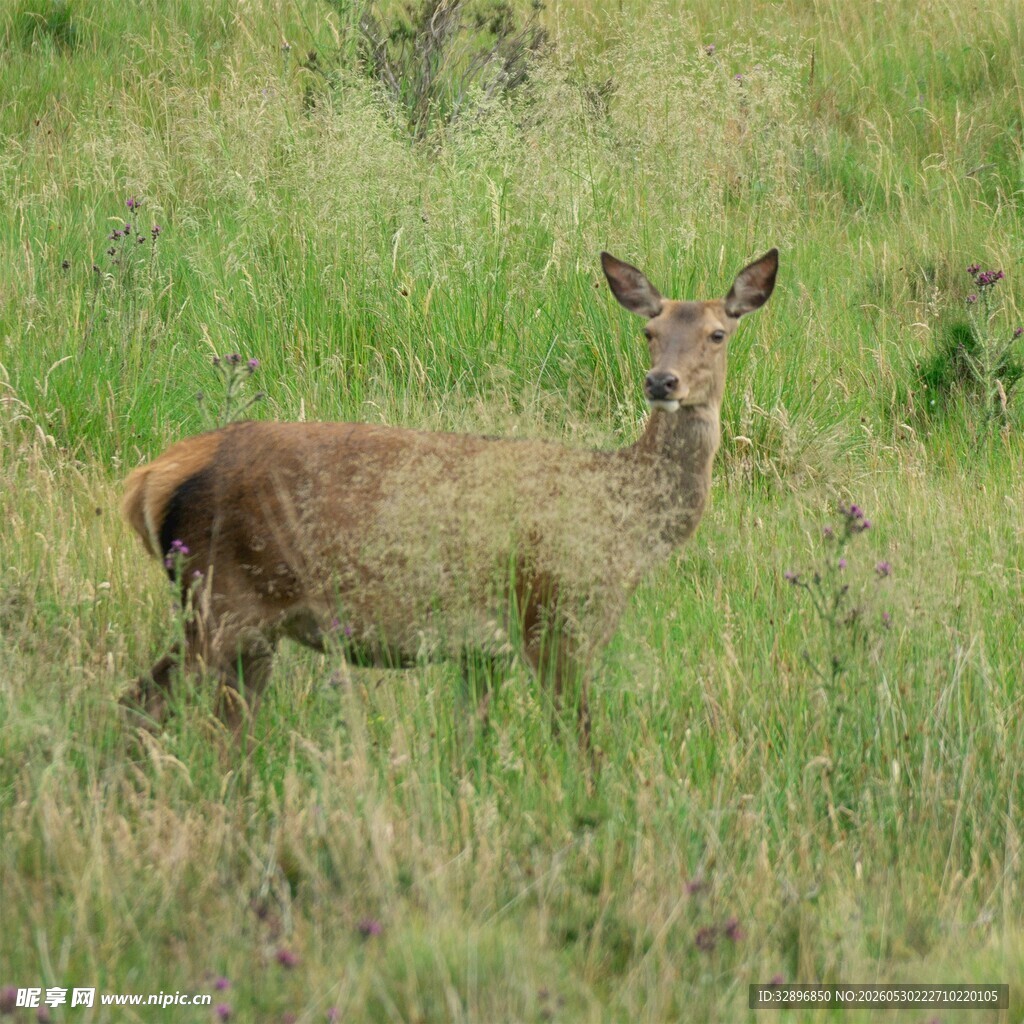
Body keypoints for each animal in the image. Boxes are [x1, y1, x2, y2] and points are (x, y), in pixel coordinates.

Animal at [120, 248, 777, 746]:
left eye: (718, 333)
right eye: (650, 332)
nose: (661, 382)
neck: (629, 528)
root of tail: (147, 480)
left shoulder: (483, 650)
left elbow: (472, 741)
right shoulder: (552, 615)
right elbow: (581, 740)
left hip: (248, 625)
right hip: (221, 597)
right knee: (143, 701)